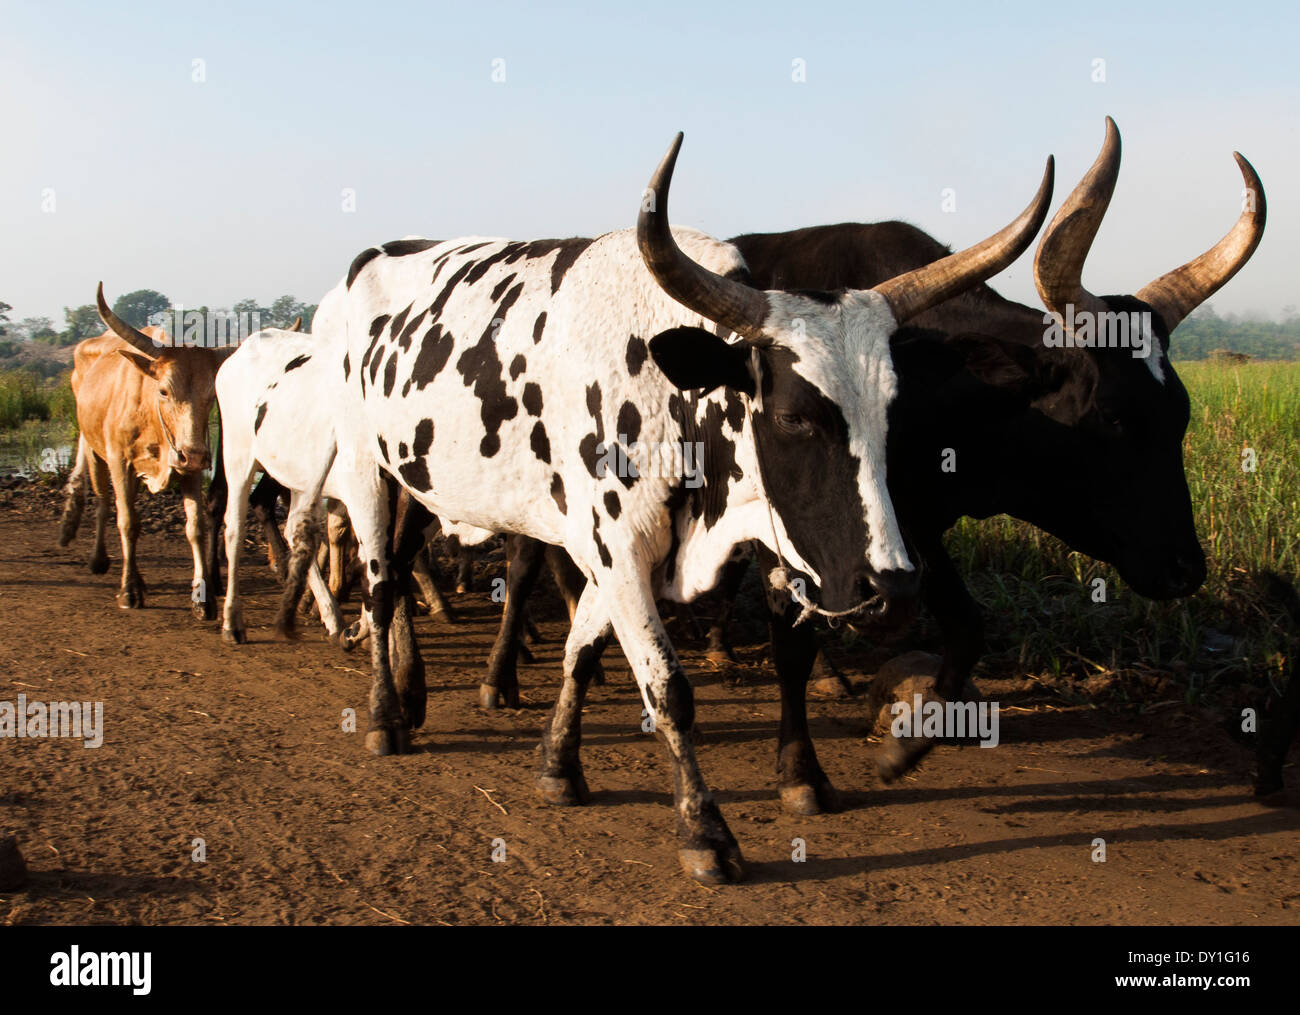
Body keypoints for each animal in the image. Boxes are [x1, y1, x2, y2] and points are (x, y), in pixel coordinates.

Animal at [58, 283, 219, 618]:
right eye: (164, 391)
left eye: (211, 395)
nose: (195, 454)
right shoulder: (120, 462)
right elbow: (128, 523)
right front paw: (129, 589)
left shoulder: (190, 468)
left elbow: (195, 527)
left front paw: (203, 597)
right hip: (95, 452)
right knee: (104, 501)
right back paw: (98, 559)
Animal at [306, 134, 1055, 878]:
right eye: (792, 415)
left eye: (893, 415)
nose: (893, 591)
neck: (668, 392)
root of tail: (363, 266)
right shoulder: (617, 543)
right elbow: (665, 684)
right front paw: (704, 829)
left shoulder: (693, 541)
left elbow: (590, 646)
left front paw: (560, 762)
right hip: (362, 467)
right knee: (380, 584)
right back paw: (386, 716)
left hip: (415, 477)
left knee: (405, 564)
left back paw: (413, 691)